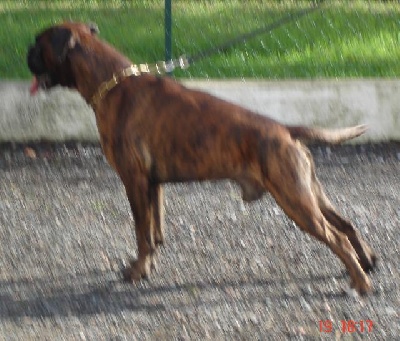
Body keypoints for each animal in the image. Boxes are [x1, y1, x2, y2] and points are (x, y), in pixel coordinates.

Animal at [26, 21, 376, 294]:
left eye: (38, 44)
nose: (26, 53)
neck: (111, 84)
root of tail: (285, 131)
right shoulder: (152, 185)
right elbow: (153, 232)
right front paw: (149, 265)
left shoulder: (134, 181)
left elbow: (141, 233)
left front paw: (137, 271)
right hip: (309, 194)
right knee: (346, 225)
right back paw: (366, 263)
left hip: (296, 201)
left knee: (337, 238)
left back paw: (360, 283)